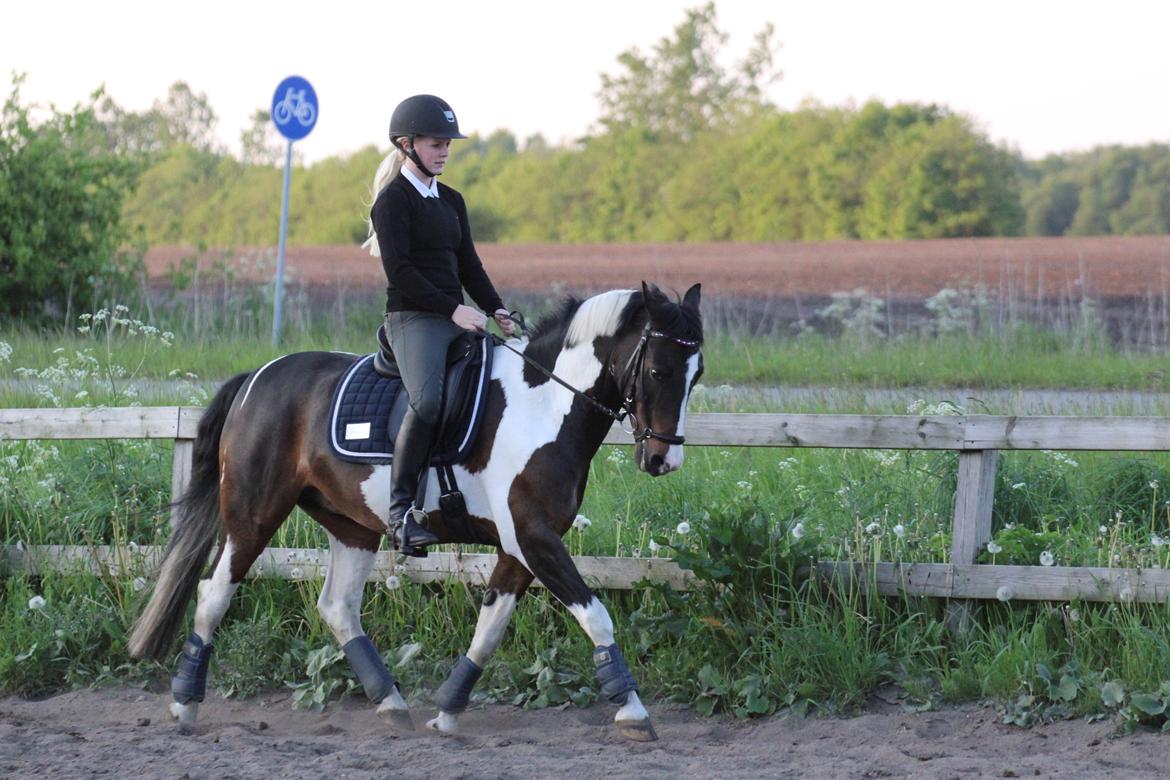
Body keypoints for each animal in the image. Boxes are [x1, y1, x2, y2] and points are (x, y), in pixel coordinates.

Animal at [128, 281, 703, 742]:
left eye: (696, 377)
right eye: (658, 370)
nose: (663, 460)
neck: (541, 408)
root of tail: (255, 379)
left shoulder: (520, 547)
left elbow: (489, 629)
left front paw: (447, 712)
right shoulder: (534, 537)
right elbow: (596, 615)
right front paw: (633, 712)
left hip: (353, 525)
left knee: (337, 607)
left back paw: (391, 702)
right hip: (252, 515)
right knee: (214, 593)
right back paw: (184, 705)